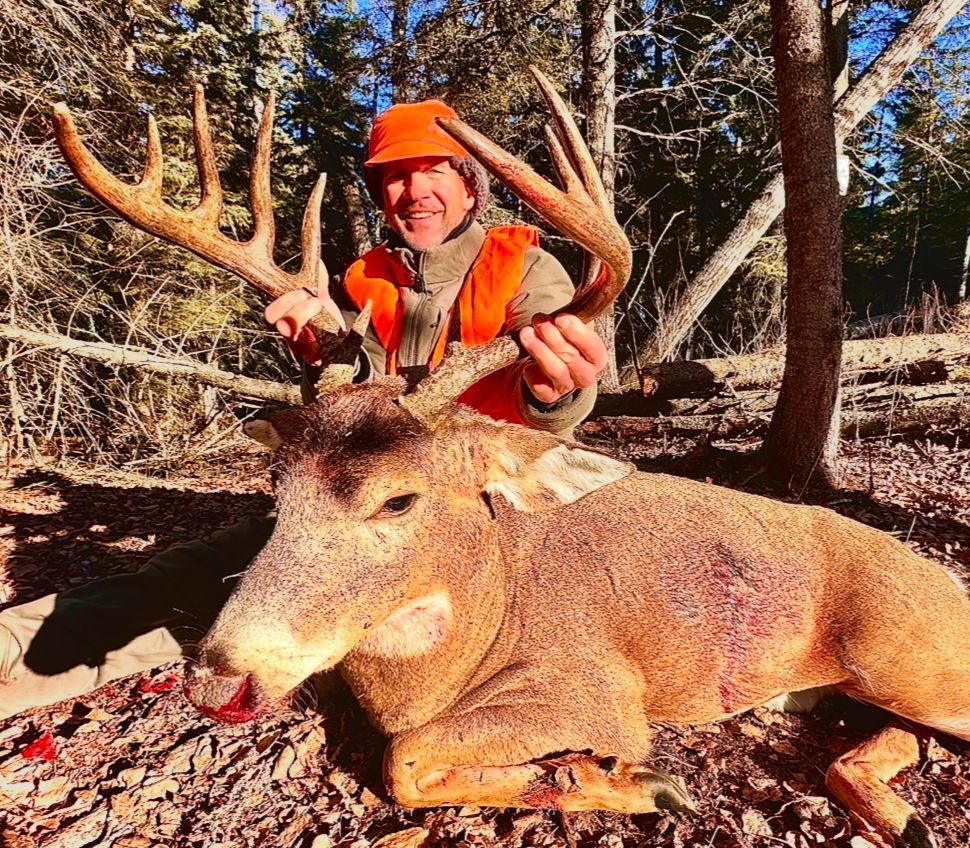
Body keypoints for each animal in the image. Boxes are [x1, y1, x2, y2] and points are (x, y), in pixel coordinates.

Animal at [53, 70, 969, 848]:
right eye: (275, 491)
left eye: (398, 500)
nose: (219, 682)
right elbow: (406, 758)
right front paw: (611, 780)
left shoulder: (601, 690)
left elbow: (406, 757)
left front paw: (633, 779)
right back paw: (897, 813)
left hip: (907, 655)